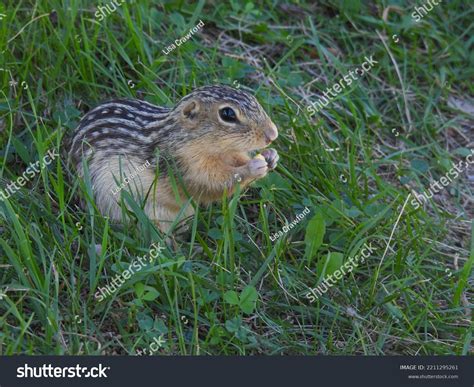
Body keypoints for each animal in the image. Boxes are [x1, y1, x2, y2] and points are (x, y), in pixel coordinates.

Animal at [68, 85, 280, 233]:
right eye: (227, 114)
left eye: (254, 98)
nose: (272, 134)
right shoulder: (182, 167)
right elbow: (211, 184)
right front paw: (253, 167)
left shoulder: (228, 153)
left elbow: (237, 159)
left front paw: (271, 156)